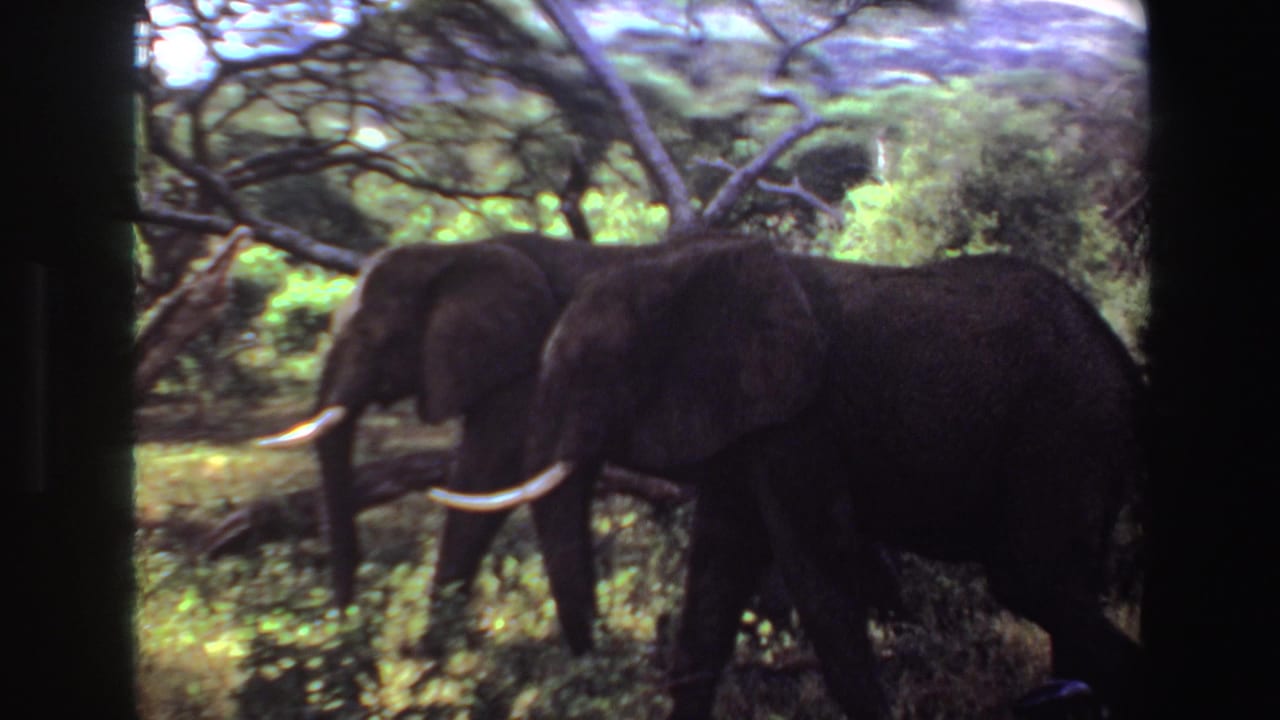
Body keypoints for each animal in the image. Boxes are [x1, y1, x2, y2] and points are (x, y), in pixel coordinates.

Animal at [257, 233, 906, 657]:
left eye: (371, 335)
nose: (344, 628)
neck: (456, 250)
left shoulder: (517, 372)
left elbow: (483, 482)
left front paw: (427, 656)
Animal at [428, 239, 1146, 719]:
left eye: (594, 370)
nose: (593, 667)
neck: (681, 270)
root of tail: (1120, 355)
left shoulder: (801, 420)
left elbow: (817, 576)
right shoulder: (743, 425)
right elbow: (714, 580)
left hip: (1065, 422)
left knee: (1029, 579)